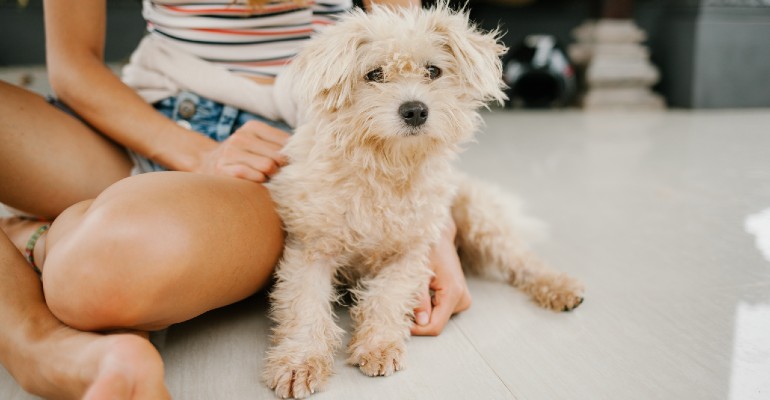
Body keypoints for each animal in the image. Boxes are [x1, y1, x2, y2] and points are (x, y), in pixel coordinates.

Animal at [264, 4, 584, 398]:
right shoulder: (311, 249)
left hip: (478, 217)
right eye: (374, 74)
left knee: (523, 260)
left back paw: (560, 287)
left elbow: (387, 296)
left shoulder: (412, 251)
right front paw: (300, 362)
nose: (415, 110)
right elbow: (306, 307)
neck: (385, 167)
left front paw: (378, 346)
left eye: (433, 70)